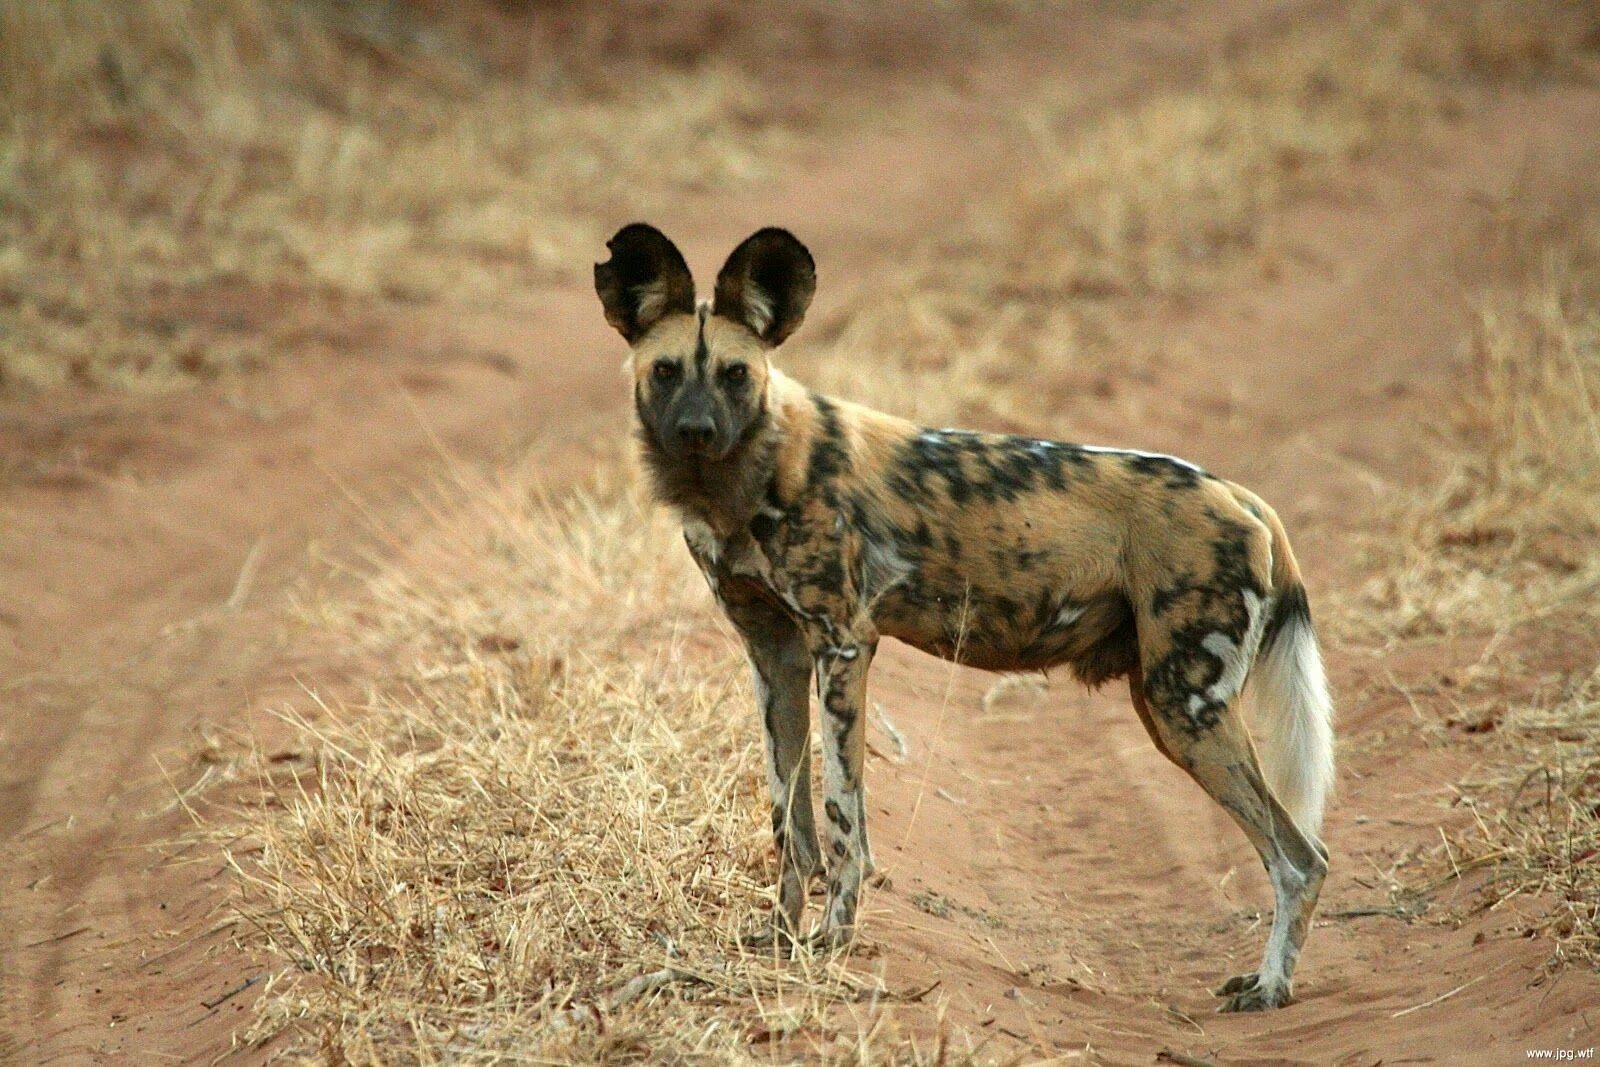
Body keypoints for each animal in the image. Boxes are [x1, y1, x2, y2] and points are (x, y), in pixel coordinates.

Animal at [595, 223, 1331, 1011]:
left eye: (735, 374)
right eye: (667, 371)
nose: (696, 430)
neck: (745, 479)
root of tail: (1246, 499)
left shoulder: (843, 648)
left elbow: (843, 819)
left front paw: (833, 939)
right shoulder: (775, 660)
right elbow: (789, 820)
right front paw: (783, 937)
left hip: (1185, 708)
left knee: (1299, 858)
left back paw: (1271, 985)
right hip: (1163, 704)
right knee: (1303, 849)